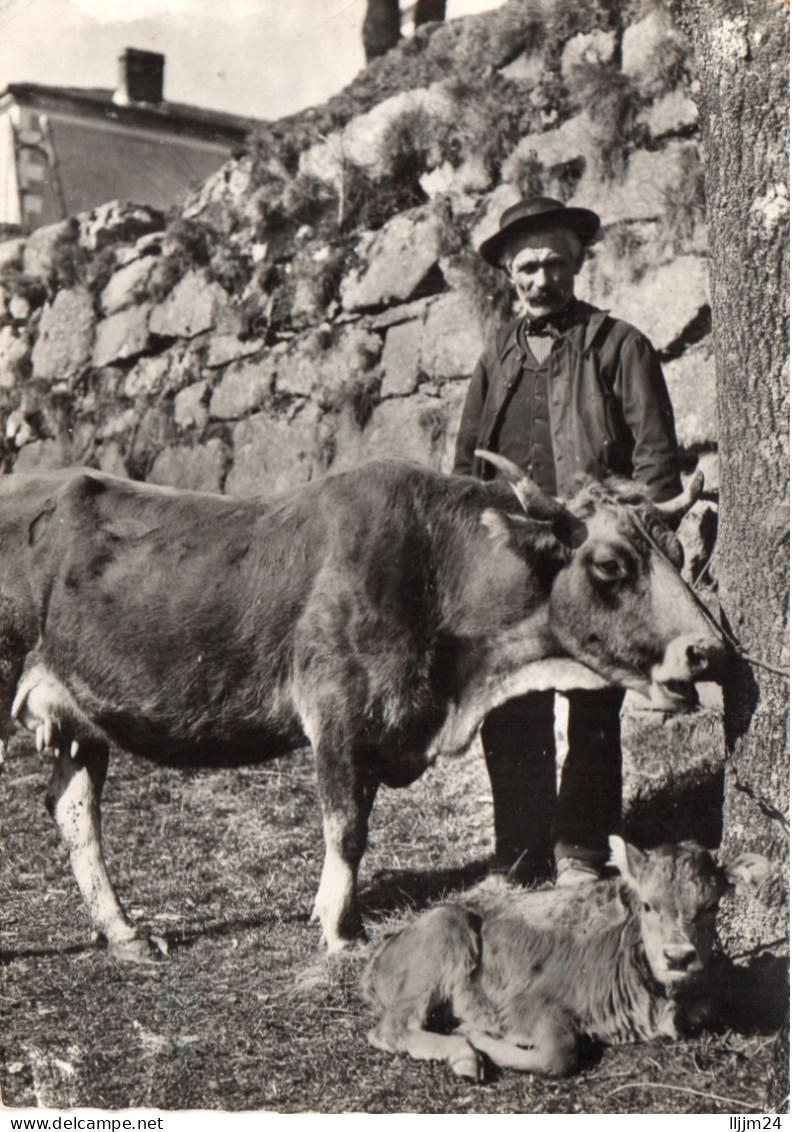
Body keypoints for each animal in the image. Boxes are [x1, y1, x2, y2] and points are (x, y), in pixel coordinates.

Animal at [0, 455, 724, 959]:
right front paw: (337, 931)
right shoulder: (338, 713)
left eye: (678, 552)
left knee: (74, 812)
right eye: (609, 564)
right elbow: (346, 827)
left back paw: (126, 935)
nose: (706, 650)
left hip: (77, 717)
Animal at [362, 833, 769, 1077]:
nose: (679, 956)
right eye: (648, 905)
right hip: (447, 931)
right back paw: (464, 1056)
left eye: (710, 907)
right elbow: (559, 1053)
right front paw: (477, 1035)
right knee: (391, 1028)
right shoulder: (527, 1002)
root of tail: (383, 953)